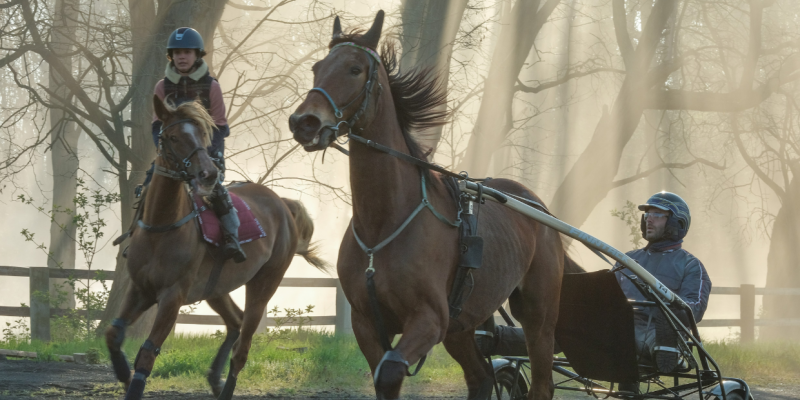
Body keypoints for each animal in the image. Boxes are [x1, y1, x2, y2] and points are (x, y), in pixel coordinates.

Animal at [107, 96, 328, 400]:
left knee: (242, 348)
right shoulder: (140, 289)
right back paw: (214, 377)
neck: (162, 226)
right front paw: (123, 374)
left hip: (265, 282)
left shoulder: (172, 296)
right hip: (216, 288)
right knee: (235, 322)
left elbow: (148, 353)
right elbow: (113, 334)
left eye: (202, 133)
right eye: (173, 137)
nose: (208, 173)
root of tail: (283, 204)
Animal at [288, 10, 580, 400]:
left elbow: (390, 372)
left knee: (541, 378)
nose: (304, 122)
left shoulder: (430, 318)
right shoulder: (367, 323)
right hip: (463, 324)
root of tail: (537, 207)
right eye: (317, 68)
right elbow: (383, 375)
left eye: (354, 68)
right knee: (480, 376)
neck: (384, 222)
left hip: (538, 313)